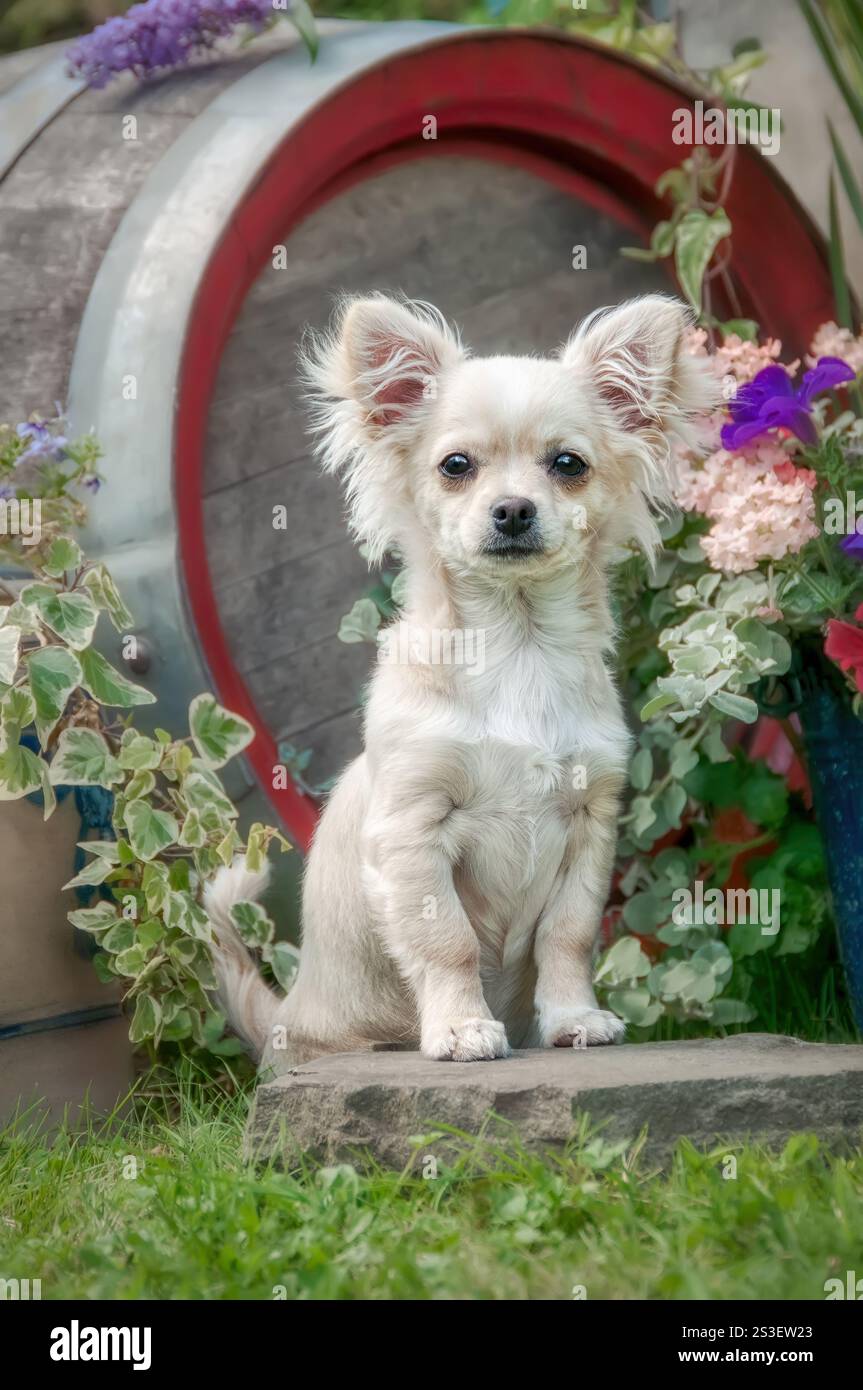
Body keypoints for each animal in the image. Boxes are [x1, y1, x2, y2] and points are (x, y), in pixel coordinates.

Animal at [204, 293, 711, 1061]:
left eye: (568, 464)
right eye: (455, 465)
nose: (513, 509)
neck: (518, 647)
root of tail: (284, 1016)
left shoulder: (588, 827)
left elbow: (568, 937)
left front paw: (573, 1019)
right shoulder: (415, 831)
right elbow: (448, 941)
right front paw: (460, 1028)